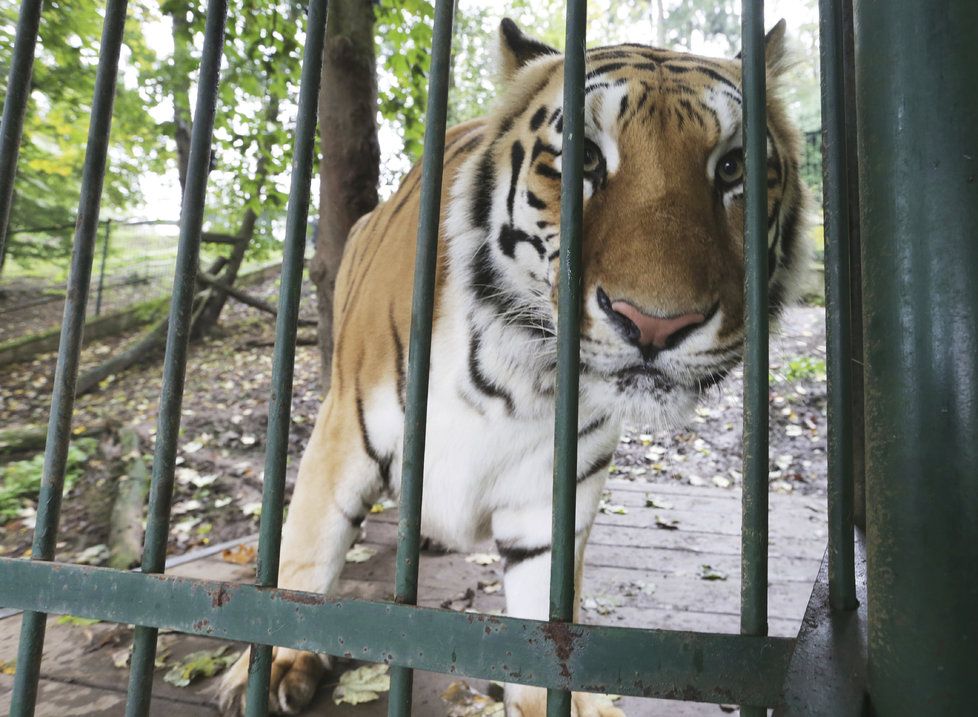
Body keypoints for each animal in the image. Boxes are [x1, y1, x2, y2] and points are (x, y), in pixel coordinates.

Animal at [221, 16, 808, 716]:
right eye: (585, 159)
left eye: (733, 167)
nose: (654, 324)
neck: (518, 378)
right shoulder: (344, 431)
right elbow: (306, 559)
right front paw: (274, 665)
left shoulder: (552, 498)